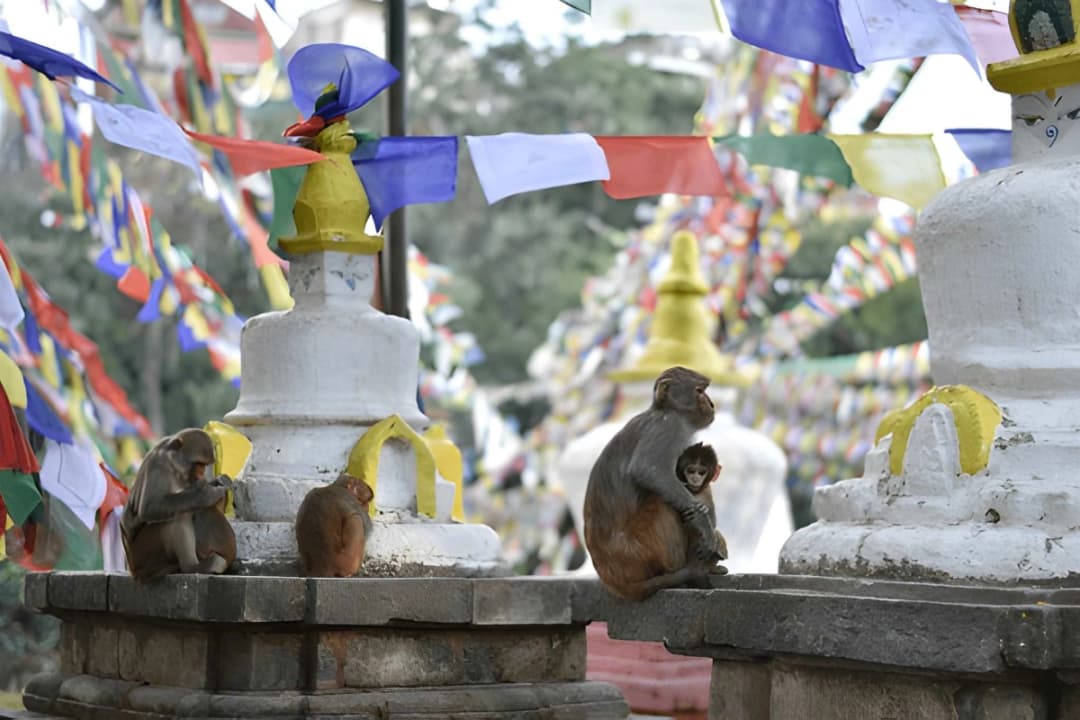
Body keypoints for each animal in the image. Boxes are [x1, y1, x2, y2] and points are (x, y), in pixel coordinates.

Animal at [120, 429, 235, 582]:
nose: (201, 474)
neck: (174, 465)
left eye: (205, 465)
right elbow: (150, 507)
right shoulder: (159, 464)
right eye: (198, 464)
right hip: (143, 554)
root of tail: (133, 570)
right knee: (178, 517)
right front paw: (205, 494)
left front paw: (220, 482)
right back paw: (192, 567)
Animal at [584, 366, 724, 601]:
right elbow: (648, 470)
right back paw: (682, 574)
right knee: (662, 503)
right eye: (699, 391)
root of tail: (615, 583)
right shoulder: (667, 426)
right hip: (637, 554)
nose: (711, 404)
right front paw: (703, 522)